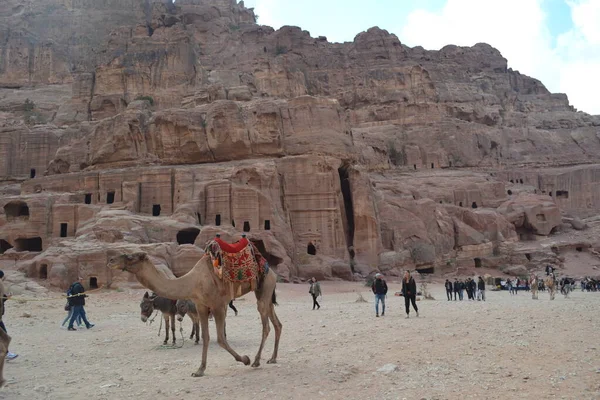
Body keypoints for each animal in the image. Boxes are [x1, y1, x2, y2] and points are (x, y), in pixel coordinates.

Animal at [108, 252, 284, 376]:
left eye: (130, 256)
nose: (110, 260)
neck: (193, 282)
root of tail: (272, 271)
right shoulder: (201, 306)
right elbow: (205, 336)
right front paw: (200, 370)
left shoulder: (218, 305)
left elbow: (221, 339)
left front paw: (245, 359)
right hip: (265, 292)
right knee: (277, 324)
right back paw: (273, 358)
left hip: (265, 286)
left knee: (266, 326)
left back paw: (256, 361)